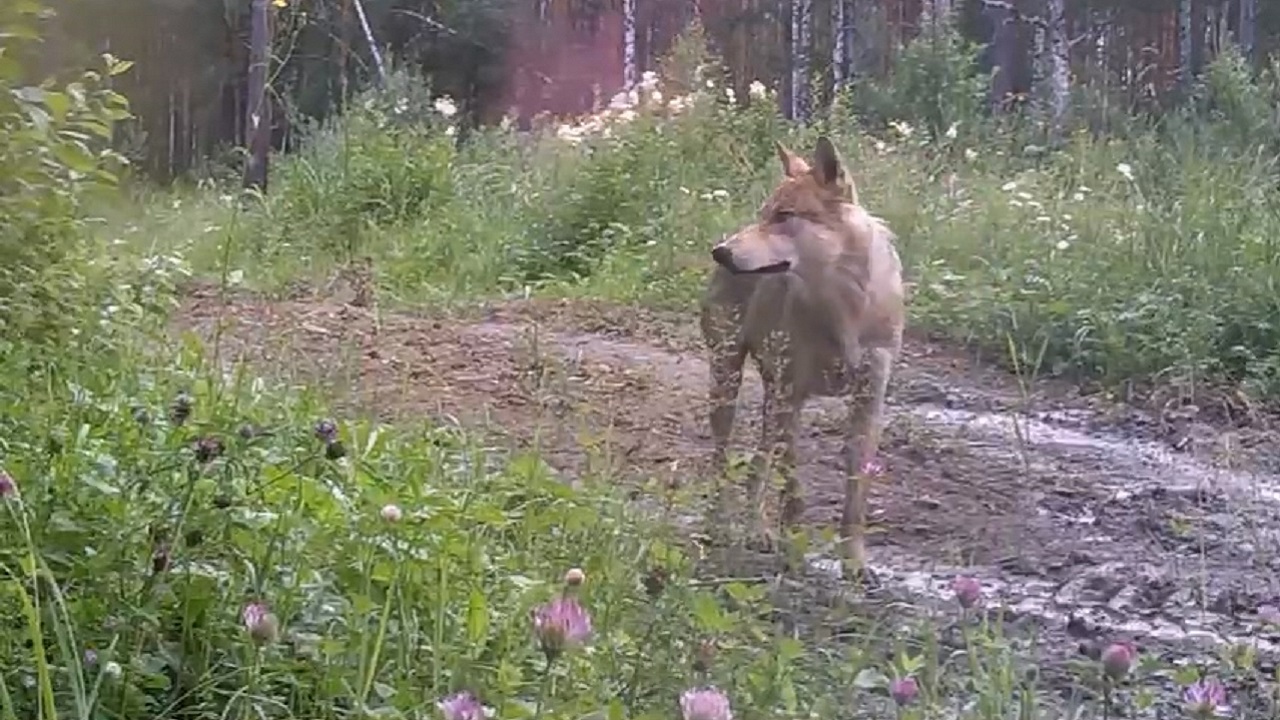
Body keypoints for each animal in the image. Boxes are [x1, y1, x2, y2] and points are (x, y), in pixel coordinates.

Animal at [701, 133, 911, 571]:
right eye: (764, 214)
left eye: (784, 216)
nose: (720, 252)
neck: (844, 305)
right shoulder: (791, 397)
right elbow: (793, 490)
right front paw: (793, 548)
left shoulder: (869, 401)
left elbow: (855, 495)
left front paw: (854, 562)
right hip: (728, 385)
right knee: (722, 460)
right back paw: (724, 525)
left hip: (770, 399)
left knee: (757, 466)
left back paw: (756, 530)